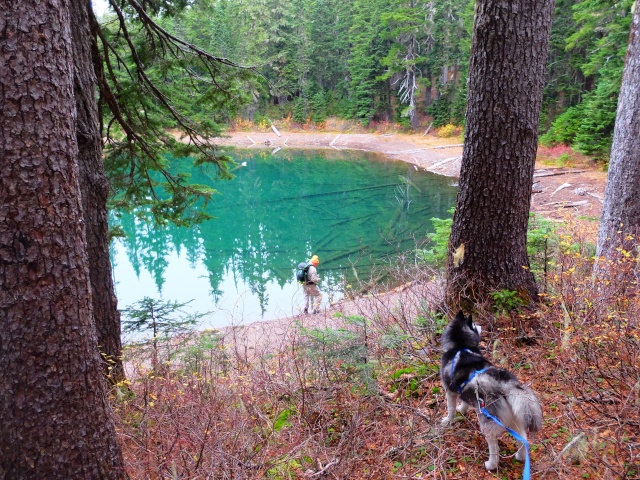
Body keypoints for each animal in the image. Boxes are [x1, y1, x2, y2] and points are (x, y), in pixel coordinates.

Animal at [442, 310, 544, 470]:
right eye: (475, 324)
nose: (481, 325)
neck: (460, 346)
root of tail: (506, 384)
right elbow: (464, 401)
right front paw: (462, 409)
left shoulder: (449, 391)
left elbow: (450, 409)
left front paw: (448, 420)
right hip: (513, 418)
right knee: (523, 438)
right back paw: (520, 457)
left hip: (487, 422)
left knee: (494, 446)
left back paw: (491, 464)